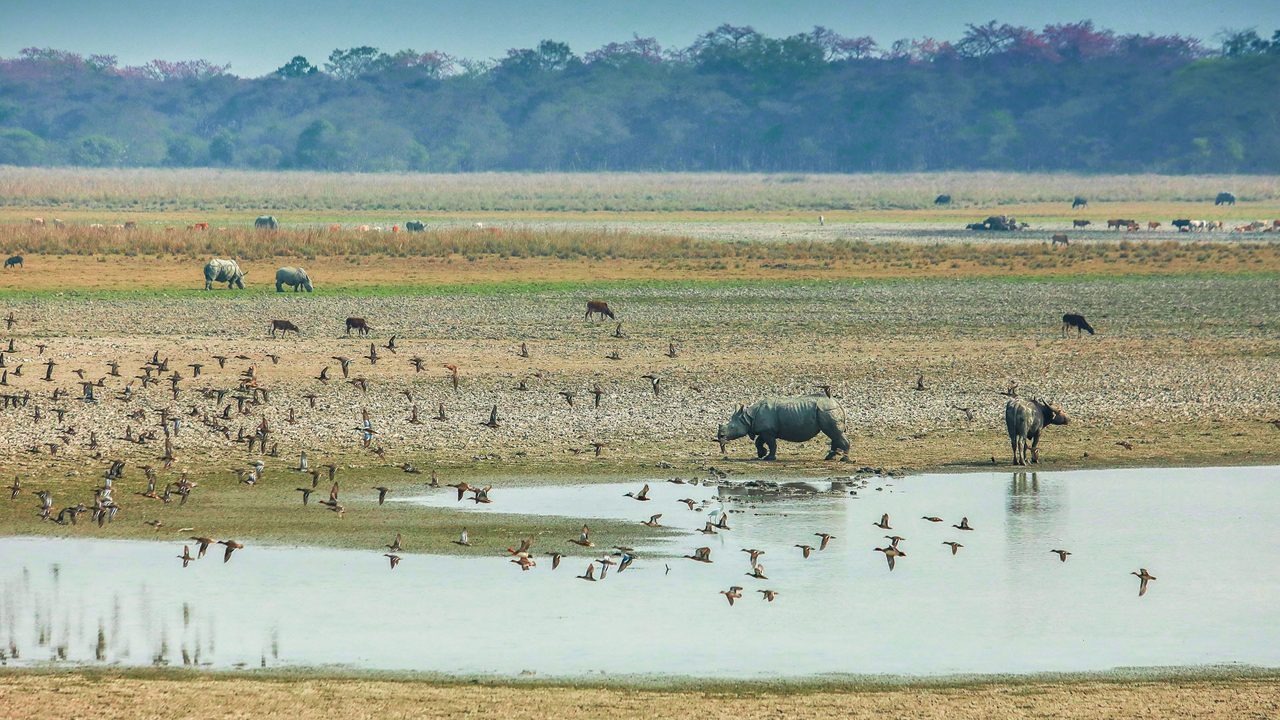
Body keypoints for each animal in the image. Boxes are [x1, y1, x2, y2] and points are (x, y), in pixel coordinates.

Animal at [721, 394, 849, 456]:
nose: (721, 437)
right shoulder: (765, 430)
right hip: (827, 410)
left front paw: (769, 458)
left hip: (826, 410)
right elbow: (758, 442)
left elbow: (772, 445)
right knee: (834, 434)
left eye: (731, 427)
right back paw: (829, 458)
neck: (747, 418)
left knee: (834, 433)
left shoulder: (768, 431)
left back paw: (844, 458)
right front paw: (762, 454)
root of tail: (838, 402)